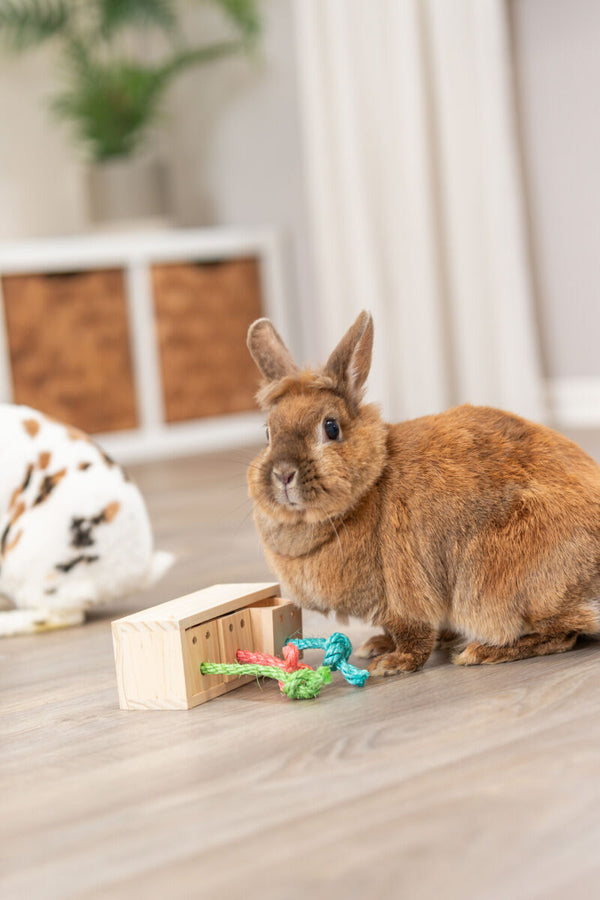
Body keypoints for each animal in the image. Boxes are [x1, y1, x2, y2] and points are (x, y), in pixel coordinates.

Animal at [245, 312, 600, 672]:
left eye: (331, 427)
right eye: (268, 433)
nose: (283, 473)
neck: (368, 487)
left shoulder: (402, 594)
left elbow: (412, 633)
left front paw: (393, 663)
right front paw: (377, 646)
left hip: (501, 590)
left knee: (563, 633)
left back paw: (482, 651)